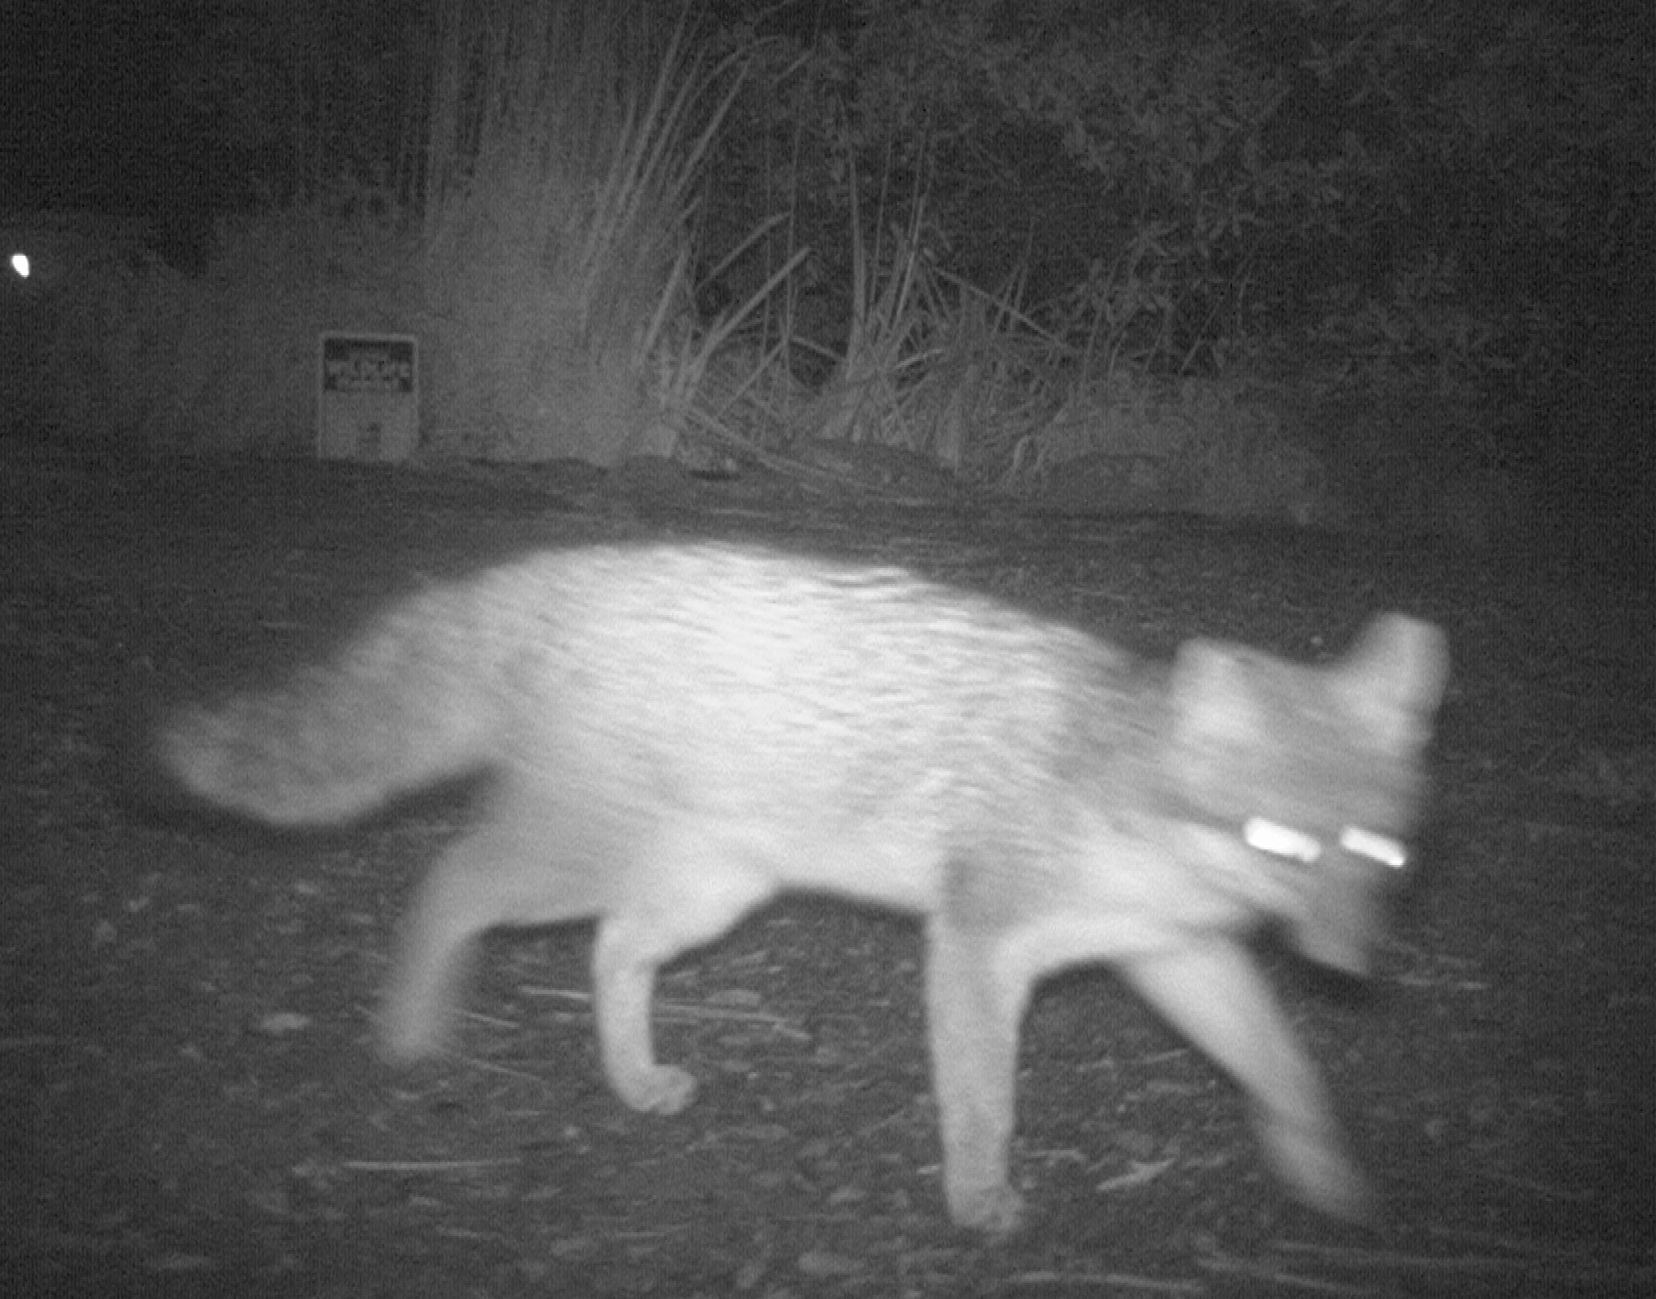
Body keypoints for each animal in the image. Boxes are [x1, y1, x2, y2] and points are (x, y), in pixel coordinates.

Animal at [155, 540, 1450, 1239]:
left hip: (704, 894)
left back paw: (633, 1081)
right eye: (1280, 842)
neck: (1122, 787)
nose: (1351, 966)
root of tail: (568, 571)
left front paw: (1328, 1175)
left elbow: (1281, 1066)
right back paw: (416, 1030)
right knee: (450, 879)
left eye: (1379, 856)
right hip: (569, 862)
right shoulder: (978, 945)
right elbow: (983, 1100)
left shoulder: (1174, 955)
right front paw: (978, 1201)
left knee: (610, 951)